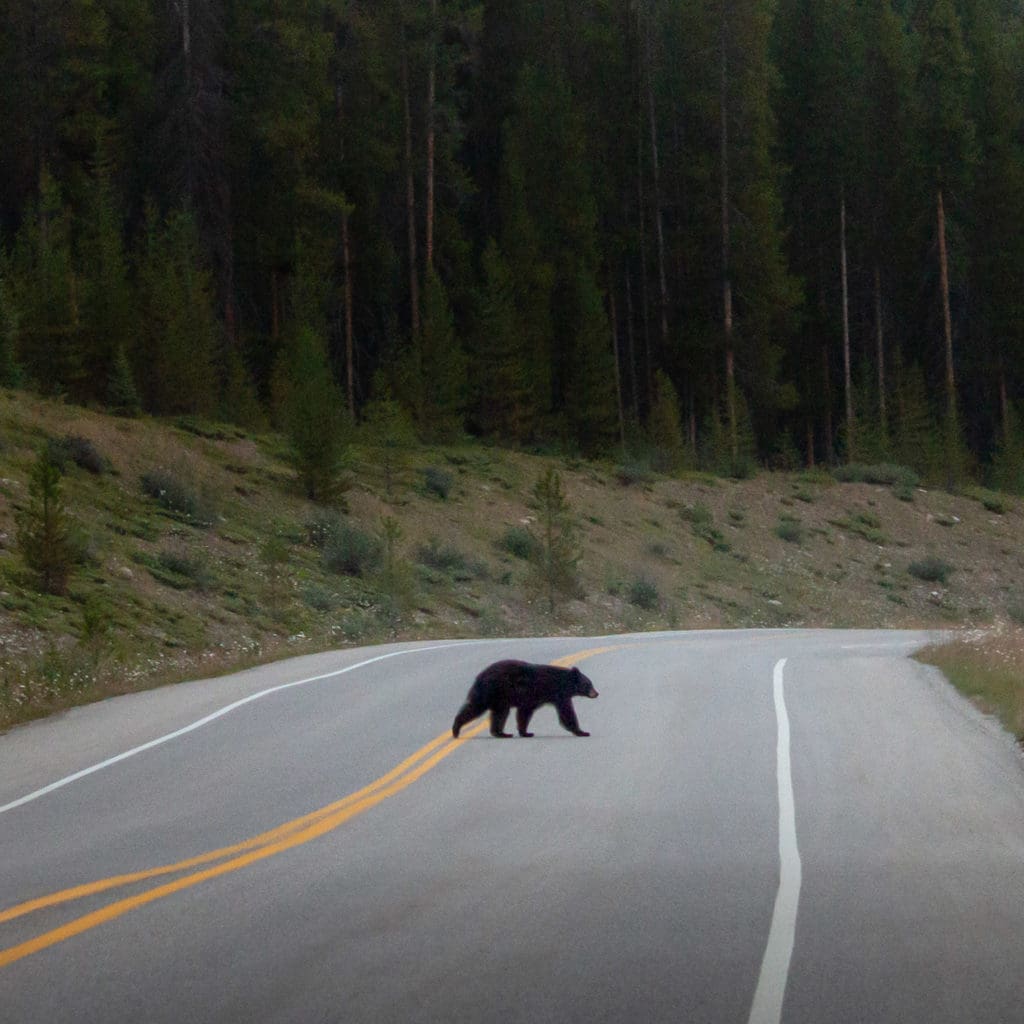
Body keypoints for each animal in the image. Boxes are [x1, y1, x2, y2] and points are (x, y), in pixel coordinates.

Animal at [450, 659, 598, 741]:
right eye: (589, 684)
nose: (596, 693)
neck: (562, 683)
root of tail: (479, 676)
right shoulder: (556, 695)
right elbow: (566, 713)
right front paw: (582, 732)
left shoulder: (535, 698)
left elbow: (525, 713)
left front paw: (525, 732)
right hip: (494, 691)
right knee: (478, 708)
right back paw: (456, 729)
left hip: (498, 698)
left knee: (498, 714)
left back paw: (501, 733)